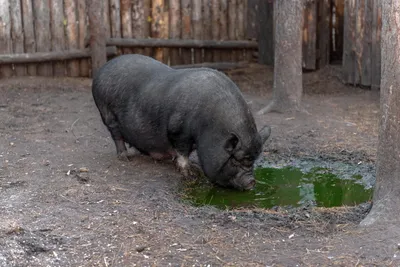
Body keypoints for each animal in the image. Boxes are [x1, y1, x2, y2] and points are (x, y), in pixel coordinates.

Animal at [92, 54, 270, 191]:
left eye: (253, 160)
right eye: (235, 160)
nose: (251, 181)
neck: (208, 127)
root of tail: (101, 70)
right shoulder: (178, 130)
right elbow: (182, 152)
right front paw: (189, 174)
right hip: (106, 113)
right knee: (116, 135)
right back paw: (125, 157)